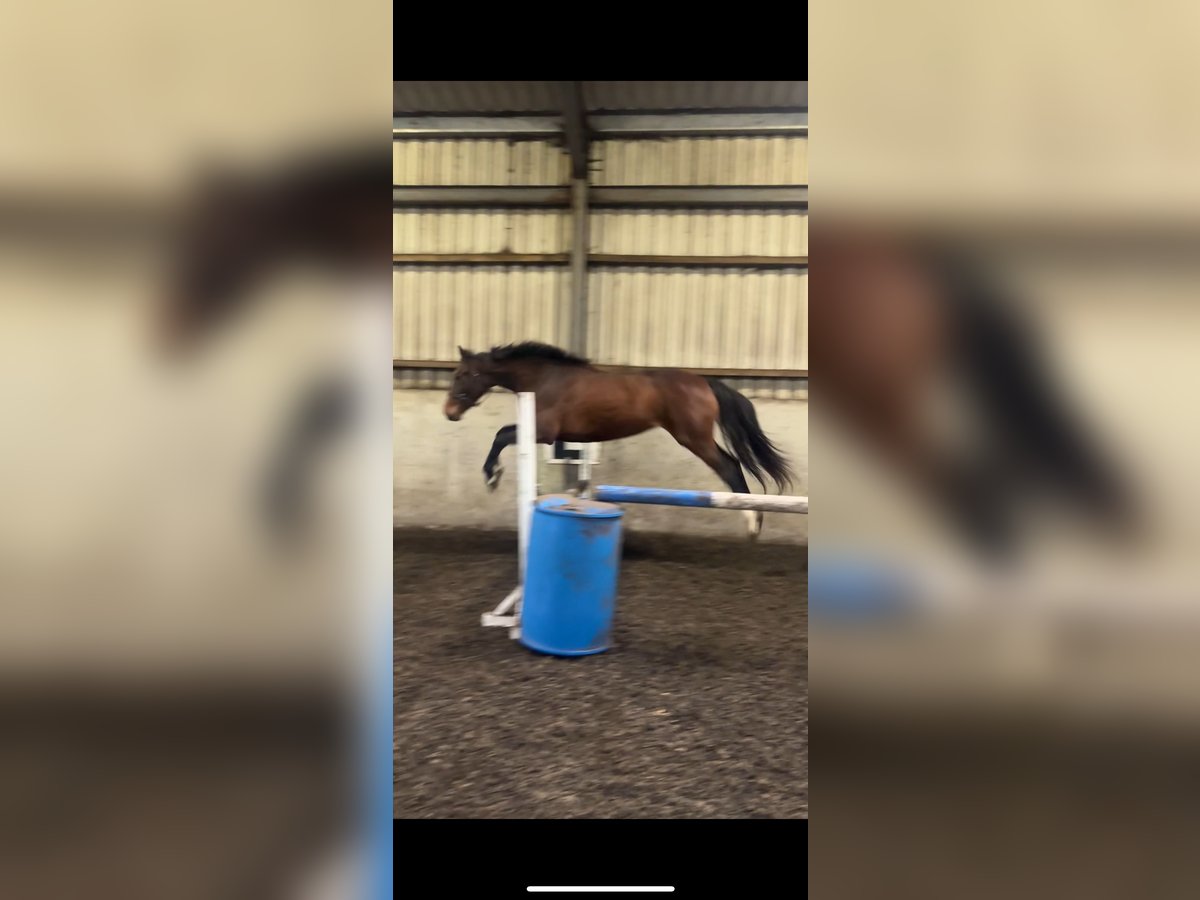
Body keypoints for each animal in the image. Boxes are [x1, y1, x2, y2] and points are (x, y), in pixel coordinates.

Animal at [444, 342, 796, 539]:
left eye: (463, 375)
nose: (449, 412)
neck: (544, 379)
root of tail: (705, 383)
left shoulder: (543, 432)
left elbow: (501, 435)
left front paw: (492, 476)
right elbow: (502, 435)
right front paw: (494, 475)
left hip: (694, 438)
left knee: (729, 465)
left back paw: (752, 520)